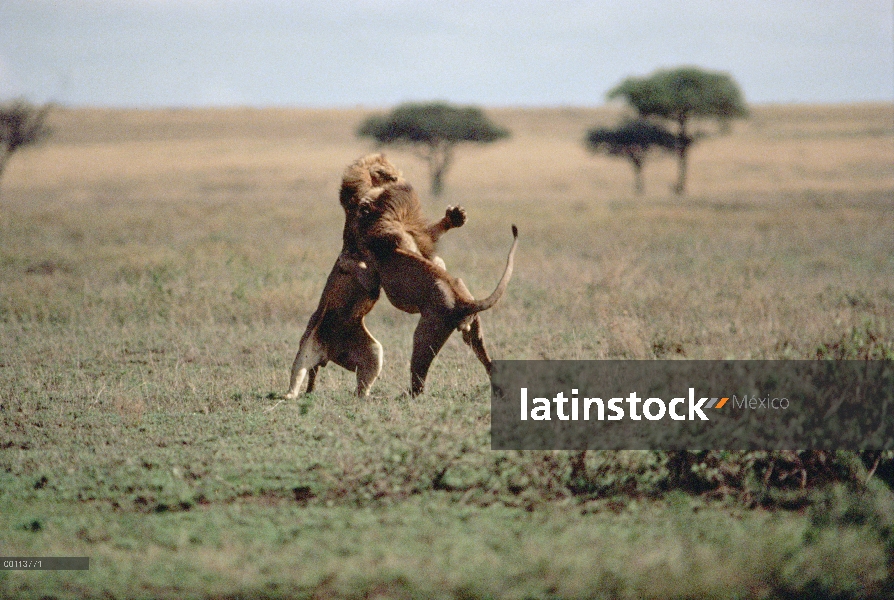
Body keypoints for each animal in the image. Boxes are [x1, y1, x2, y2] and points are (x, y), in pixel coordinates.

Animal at [288, 155, 468, 398]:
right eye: (384, 171)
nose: (395, 178)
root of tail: (326, 355)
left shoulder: (409, 234)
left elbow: (426, 239)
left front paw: (455, 216)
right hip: (306, 348)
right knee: (297, 375)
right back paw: (288, 396)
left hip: (372, 352)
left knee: (361, 386)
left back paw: (368, 398)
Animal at [348, 185, 520, 396]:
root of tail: (464, 301)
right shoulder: (414, 241)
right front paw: (456, 216)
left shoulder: (376, 261)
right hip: (474, 332)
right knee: (488, 362)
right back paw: (498, 391)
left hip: (426, 334)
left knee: (419, 378)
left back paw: (405, 395)